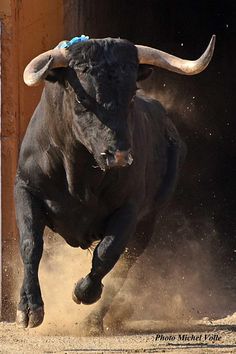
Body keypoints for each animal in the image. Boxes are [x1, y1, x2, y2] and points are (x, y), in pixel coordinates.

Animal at [14, 37, 214, 330]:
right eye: (81, 97)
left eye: (131, 95)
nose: (118, 155)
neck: (79, 175)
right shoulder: (25, 189)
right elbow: (31, 243)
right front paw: (29, 309)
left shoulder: (130, 209)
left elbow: (108, 252)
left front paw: (83, 292)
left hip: (148, 222)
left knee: (125, 264)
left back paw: (93, 321)